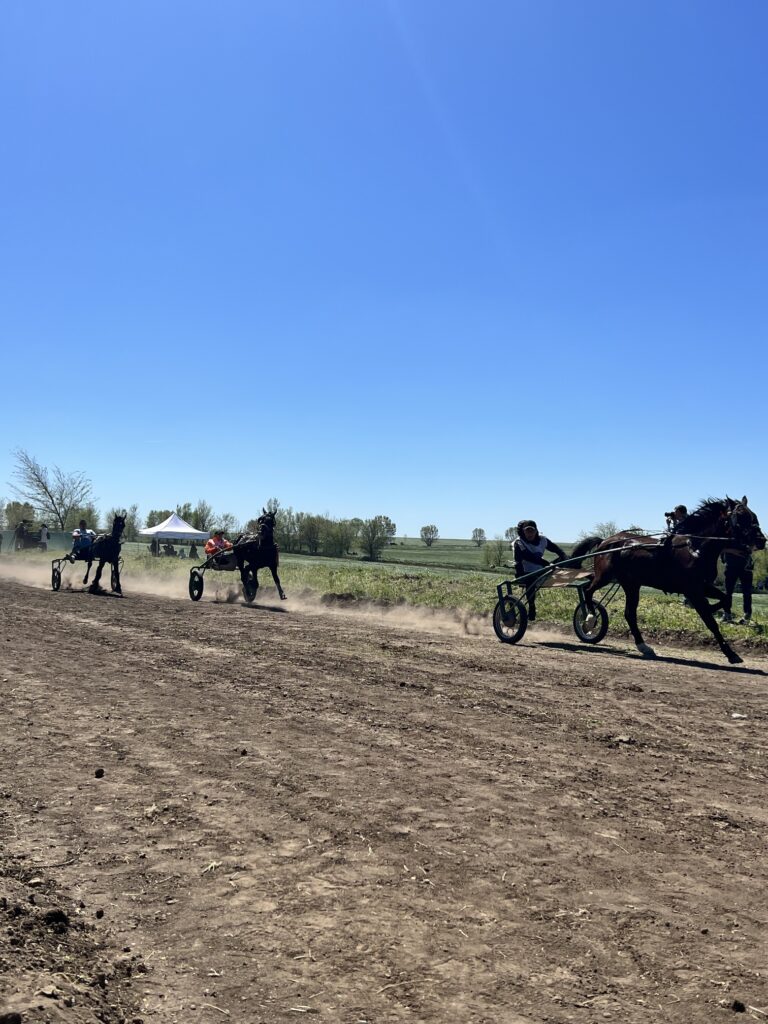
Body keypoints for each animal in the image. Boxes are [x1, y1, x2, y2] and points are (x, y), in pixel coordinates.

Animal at [573, 495, 765, 663]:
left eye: (753, 515)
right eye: (741, 516)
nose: (762, 540)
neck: (695, 549)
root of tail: (606, 541)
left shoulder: (703, 587)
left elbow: (725, 599)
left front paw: (716, 610)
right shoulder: (693, 591)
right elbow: (710, 621)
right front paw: (731, 653)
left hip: (631, 584)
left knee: (629, 614)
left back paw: (643, 646)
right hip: (605, 576)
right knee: (588, 590)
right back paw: (589, 618)